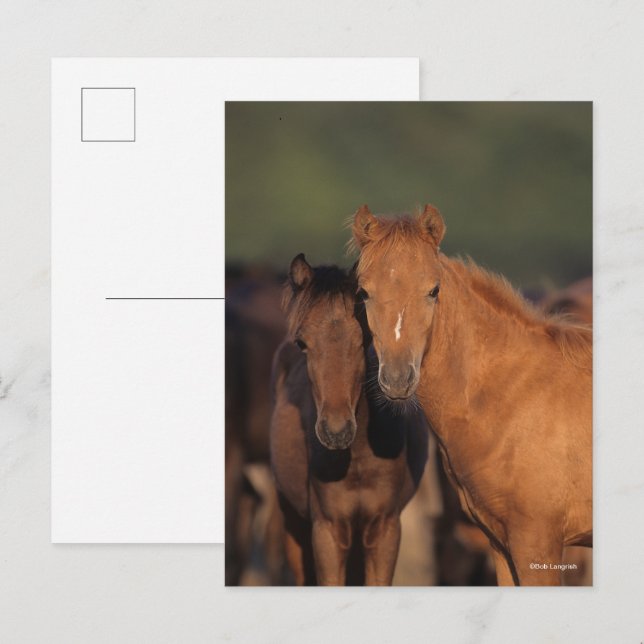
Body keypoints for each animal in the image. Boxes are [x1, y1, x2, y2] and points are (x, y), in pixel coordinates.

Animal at [270, 254, 428, 585]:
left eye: (364, 338)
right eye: (302, 343)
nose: (336, 431)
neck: (357, 459)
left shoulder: (384, 528)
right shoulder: (328, 530)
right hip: (293, 521)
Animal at [351, 204, 592, 586]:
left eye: (433, 290)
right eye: (363, 292)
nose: (398, 379)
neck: (514, 396)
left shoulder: (538, 544)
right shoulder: (500, 545)